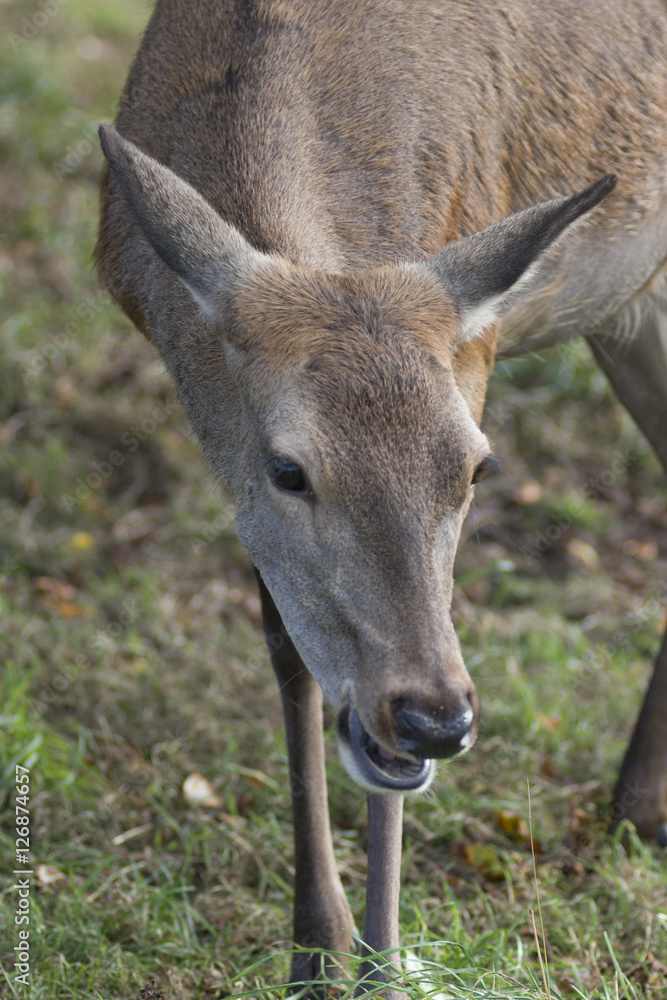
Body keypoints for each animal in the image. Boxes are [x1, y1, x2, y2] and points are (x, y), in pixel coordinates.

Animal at [95, 1, 667, 995]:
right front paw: (313, 950)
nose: (435, 718)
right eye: (288, 470)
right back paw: (632, 808)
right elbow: (288, 651)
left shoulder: (473, 352)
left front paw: (384, 960)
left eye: (474, 466)